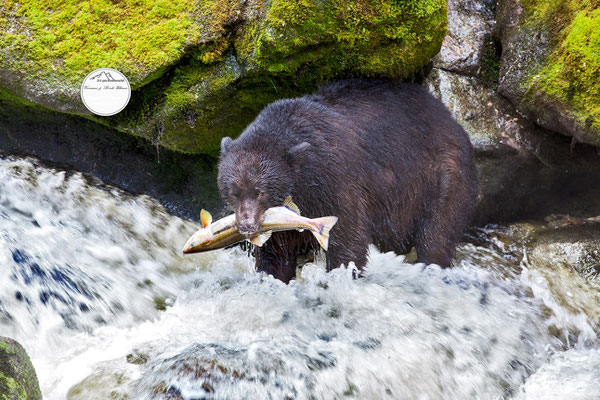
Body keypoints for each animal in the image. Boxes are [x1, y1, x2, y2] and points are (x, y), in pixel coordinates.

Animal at [217, 79, 478, 282]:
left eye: (260, 190)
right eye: (233, 191)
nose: (246, 225)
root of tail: (452, 120)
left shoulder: (335, 182)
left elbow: (347, 238)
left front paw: (343, 275)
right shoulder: (283, 221)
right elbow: (276, 253)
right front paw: (272, 277)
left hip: (439, 175)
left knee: (436, 232)